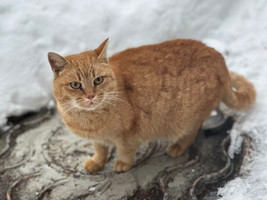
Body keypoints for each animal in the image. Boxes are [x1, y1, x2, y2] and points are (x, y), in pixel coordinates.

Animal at [48, 38, 258, 172]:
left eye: (98, 80)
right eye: (75, 85)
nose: (91, 96)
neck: (89, 120)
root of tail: (219, 58)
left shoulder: (128, 136)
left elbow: (125, 151)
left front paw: (123, 163)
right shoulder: (97, 139)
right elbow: (100, 150)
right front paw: (97, 162)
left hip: (187, 117)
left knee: (193, 129)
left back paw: (178, 146)